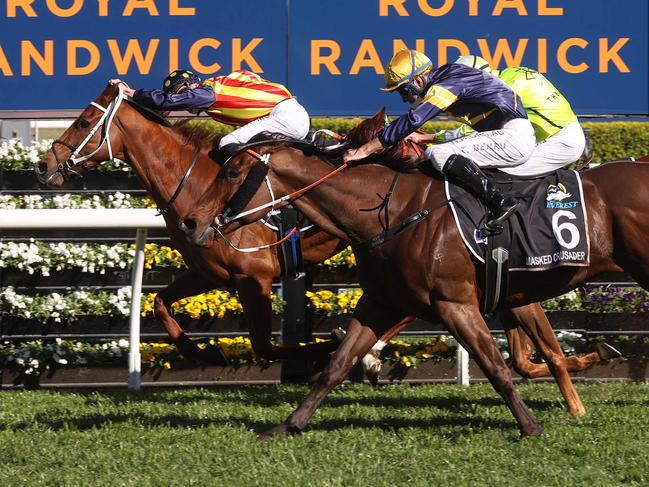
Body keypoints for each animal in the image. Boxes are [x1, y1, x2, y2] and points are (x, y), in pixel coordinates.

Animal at [34, 83, 604, 404]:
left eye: (85, 121)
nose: (44, 166)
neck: (198, 186)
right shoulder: (209, 270)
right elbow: (159, 301)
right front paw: (196, 347)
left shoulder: (255, 278)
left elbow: (268, 344)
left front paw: (322, 353)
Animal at [182, 118, 648, 438]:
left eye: (231, 172)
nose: (190, 222)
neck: (396, 210)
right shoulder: (379, 302)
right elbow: (338, 364)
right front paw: (289, 424)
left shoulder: (455, 302)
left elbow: (496, 366)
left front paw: (530, 427)